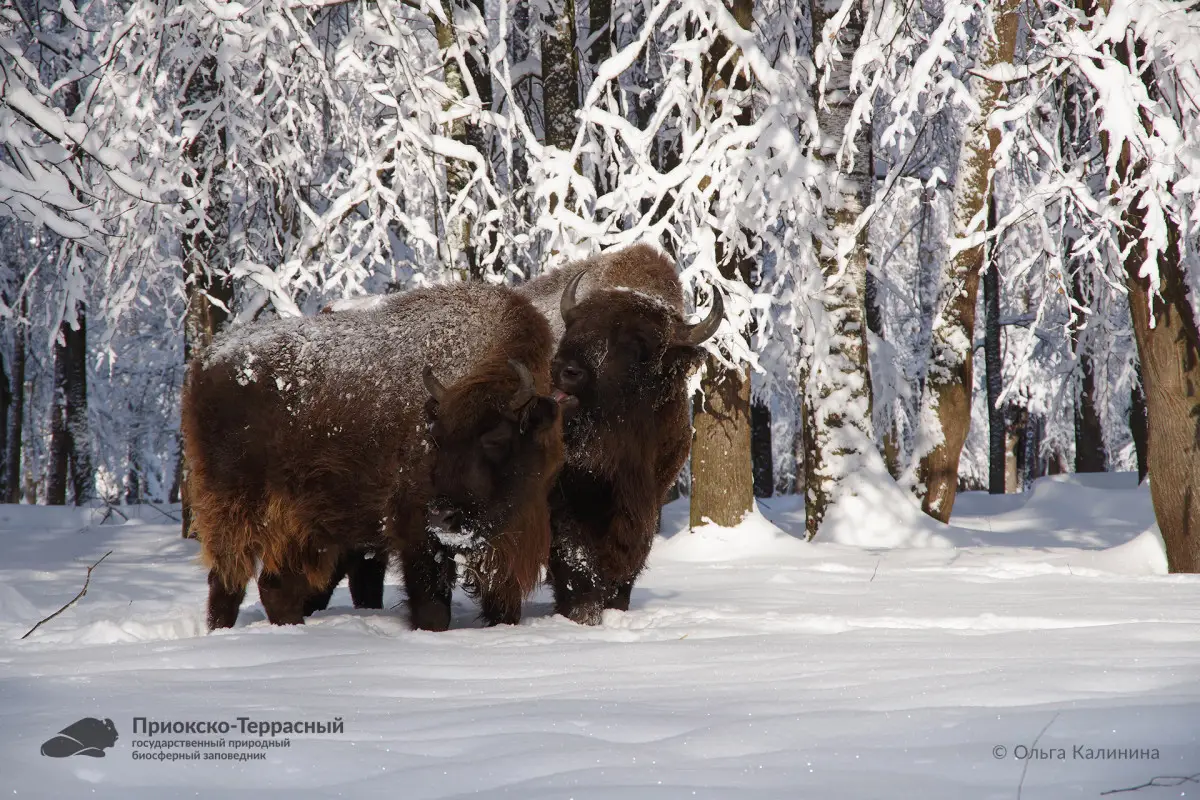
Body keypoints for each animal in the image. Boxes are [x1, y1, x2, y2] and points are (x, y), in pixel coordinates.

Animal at [181, 284, 561, 633]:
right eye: (436, 438)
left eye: (496, 438)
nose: (443, 516)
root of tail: (205, 361)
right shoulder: (417, 535)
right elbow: (432, 609)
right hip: (236, 509)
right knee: (227, 581)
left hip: (304, 530)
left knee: (276, 587)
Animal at [516, 244, 720, 623]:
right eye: (573, 327)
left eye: (639, 345)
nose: (563, 370)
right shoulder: (563, 499)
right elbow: (575, 561)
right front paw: (582, 614)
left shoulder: (649, 496)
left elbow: (628, 558)